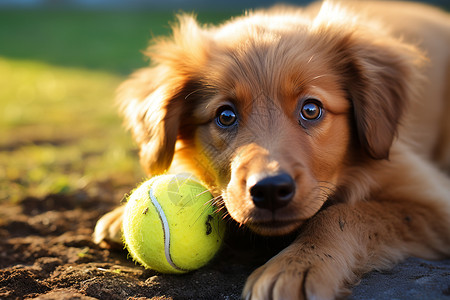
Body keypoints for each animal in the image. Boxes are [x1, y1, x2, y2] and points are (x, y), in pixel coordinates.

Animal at [92, 1, 450, 298]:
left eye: (311, 109)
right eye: (225, 116)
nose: (270, 190)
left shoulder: (433, 201)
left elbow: (343, 214)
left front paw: (296, 266)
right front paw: (118, 215)